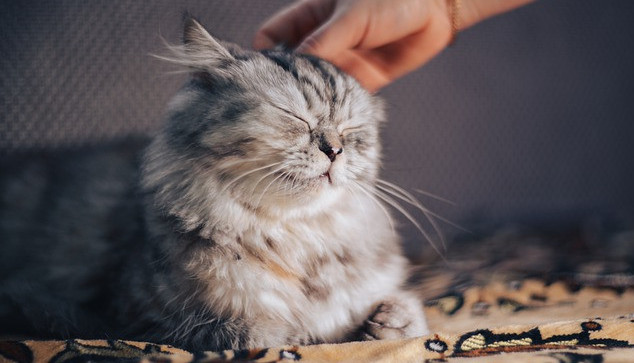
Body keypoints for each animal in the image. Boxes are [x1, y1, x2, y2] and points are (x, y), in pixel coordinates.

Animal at [0, 17, 428, 352]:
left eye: (352, 132)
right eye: (294, 117)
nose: (335, 150)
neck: (293, 239)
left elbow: (406, 317)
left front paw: (385, 322)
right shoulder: (149, 320)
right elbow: (262, 334)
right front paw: (302, 335)